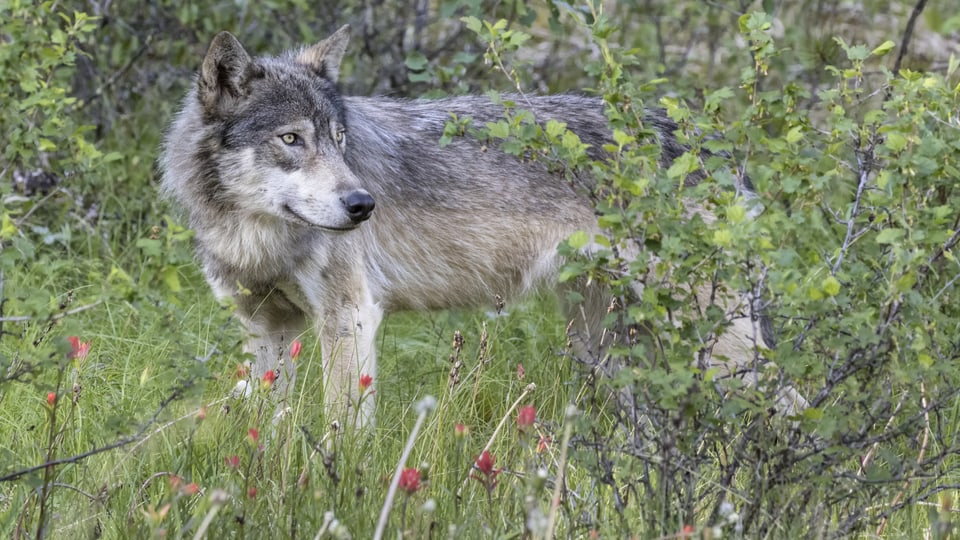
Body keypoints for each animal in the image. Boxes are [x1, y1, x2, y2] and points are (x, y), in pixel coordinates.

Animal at [161, 25, 808, 424]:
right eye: (292, 139)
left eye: (339, 139)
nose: (363, 205)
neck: (254, 233)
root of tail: (714, 147)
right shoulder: (267, 331)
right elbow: (256, 426)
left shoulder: (350, 317)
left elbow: (342, 428)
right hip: (609, 350)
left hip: (717, 352)